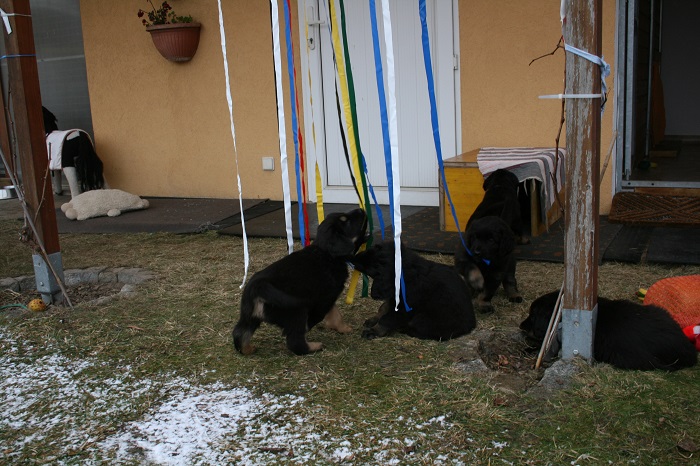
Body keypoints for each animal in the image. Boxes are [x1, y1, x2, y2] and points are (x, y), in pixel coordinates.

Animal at [233, 208, 367, 355]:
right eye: (345, 221)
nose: (361, 209)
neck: (327, 253)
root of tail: (257, 287)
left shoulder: (328, 298)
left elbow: (336, 314)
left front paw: (344, 328)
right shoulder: (325, 298)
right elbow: (327, 313)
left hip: (249, 316)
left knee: (240, 332)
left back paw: (247, 349)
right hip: (297, 312)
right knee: (295, 341)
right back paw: (314, 346)